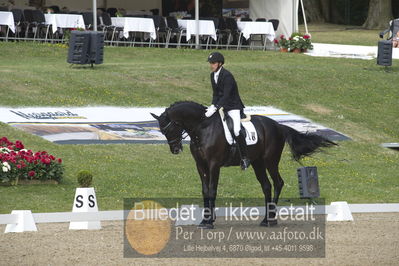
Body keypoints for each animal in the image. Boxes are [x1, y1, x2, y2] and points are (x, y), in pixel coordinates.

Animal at [152, 101, 336, 229]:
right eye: (162, 132)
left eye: (169, 129)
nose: (175, 150)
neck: (202, 128)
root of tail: (278, 125)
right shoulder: (201, 165)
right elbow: (205, 191)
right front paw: (205, 220)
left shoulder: (214, 165)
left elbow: (212, 190)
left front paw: (210, 222)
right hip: (257, 163)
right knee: (266, 186)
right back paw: (265, 219)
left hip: (270, 161)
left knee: (278, 183)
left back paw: (271, 219)